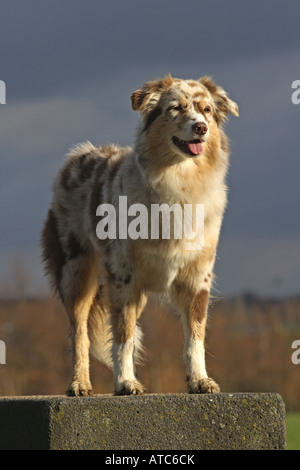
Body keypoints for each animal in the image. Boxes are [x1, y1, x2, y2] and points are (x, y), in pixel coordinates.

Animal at [41, 74, 239, 396]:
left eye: (206, 110)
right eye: (176, 108)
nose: (201, 127)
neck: (179, 181)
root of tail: (79, 155)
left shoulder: (197, 275)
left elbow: (195, 335)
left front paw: (199, 379)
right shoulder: (122, 275)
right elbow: (123, 336)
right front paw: (125, 382)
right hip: (76, 271)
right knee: (79, 332)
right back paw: (79, 383)